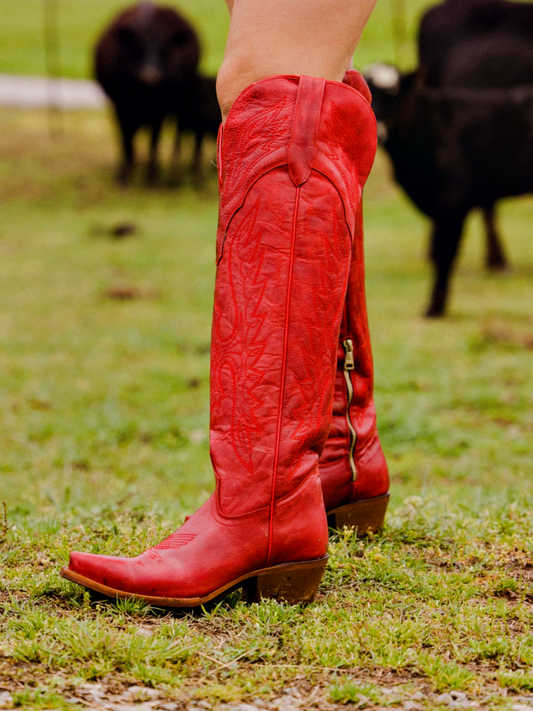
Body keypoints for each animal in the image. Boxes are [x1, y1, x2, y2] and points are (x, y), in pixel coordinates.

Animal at [93, 1, 200, 185]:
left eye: (165, 47)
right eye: (138, 45)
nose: (150, 75)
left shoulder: (160, 110)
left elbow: (153, 141)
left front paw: (152, 177)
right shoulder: (120, 107)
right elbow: (126, 141)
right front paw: (123, 176)